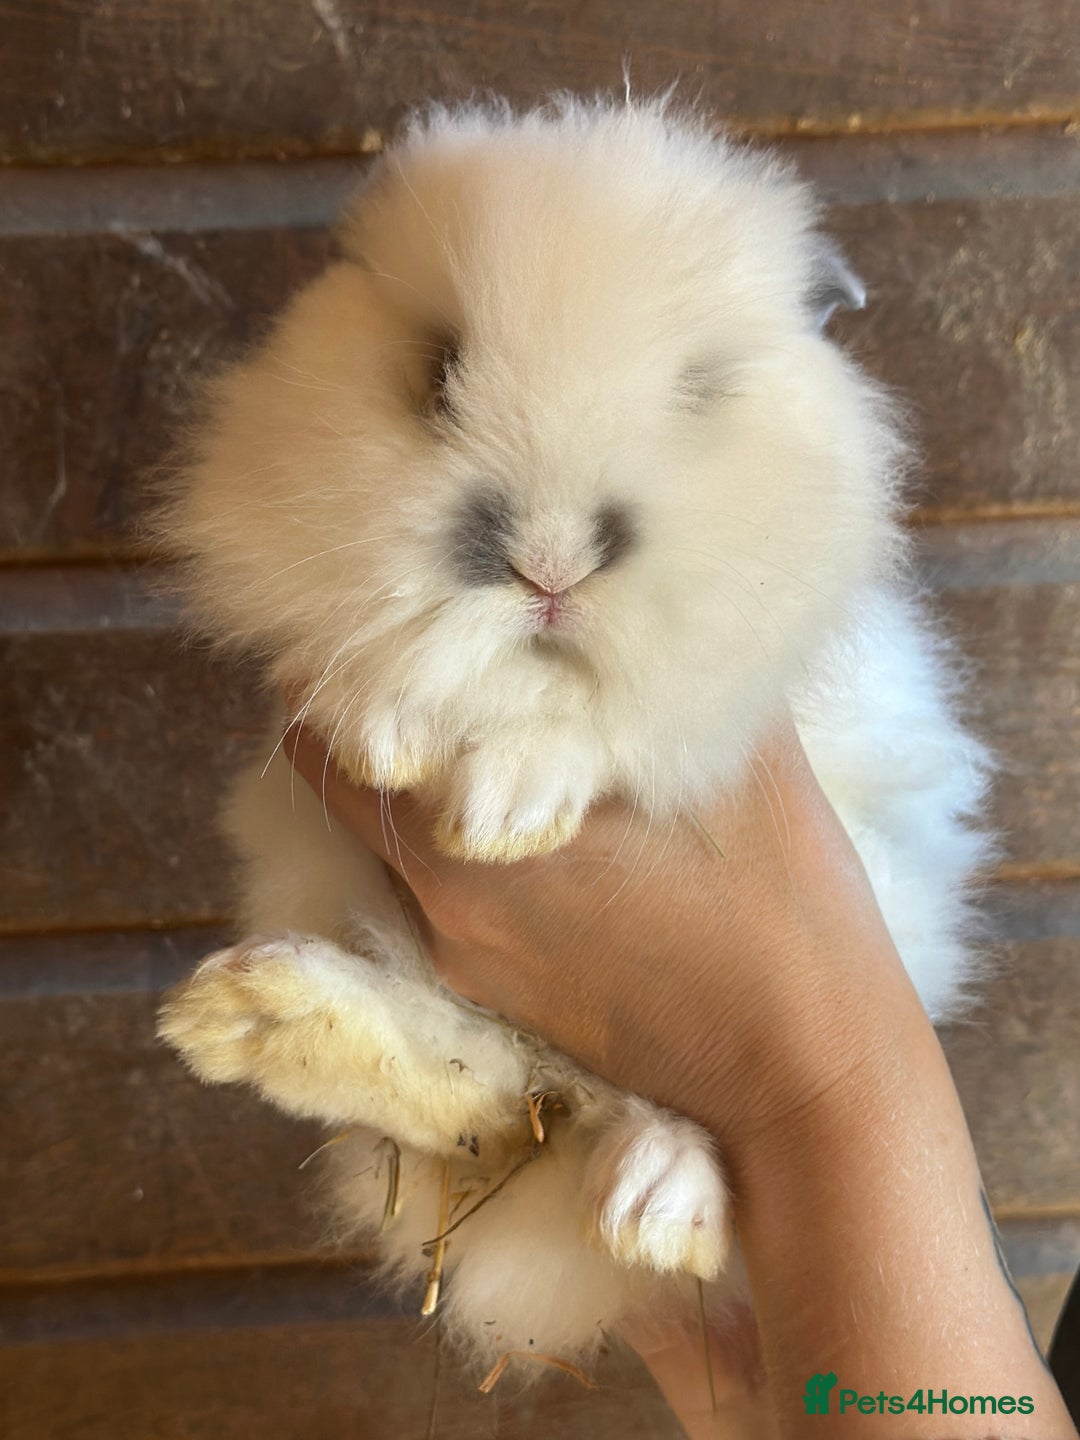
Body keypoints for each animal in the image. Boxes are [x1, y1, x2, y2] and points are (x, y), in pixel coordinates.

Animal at [156, 94, 994, 1383]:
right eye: (438, 372)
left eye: (703, 388)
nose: (547, 561)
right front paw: (390, 735)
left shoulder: (747, 687)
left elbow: (621, 720)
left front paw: (503, 811)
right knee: (486, 1083)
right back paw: (252, 1016)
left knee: (613, 1105)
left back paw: (660, 1202)